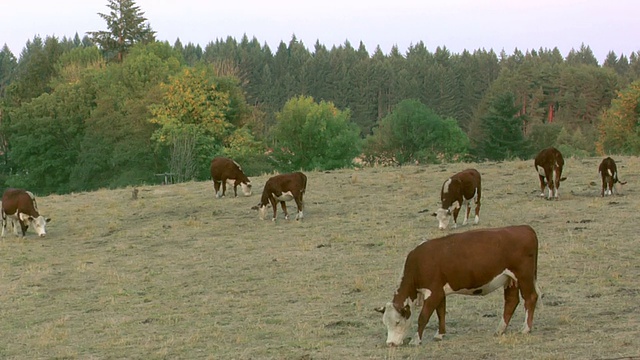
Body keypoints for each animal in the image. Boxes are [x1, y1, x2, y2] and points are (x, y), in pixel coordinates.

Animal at [376, 226, 540, 348]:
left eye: (397, 322)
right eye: (385, 322)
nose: (390, 343)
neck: (419, 264)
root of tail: (525, 228)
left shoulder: (434, 292)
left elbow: (423, 317)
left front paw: (416, 339)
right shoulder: (440, 292)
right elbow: (441, 312)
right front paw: (440, 334)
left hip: (524, 276)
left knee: (530, 298)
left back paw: (525, 328)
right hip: (510, 280)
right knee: (511, 302)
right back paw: (500, 329)